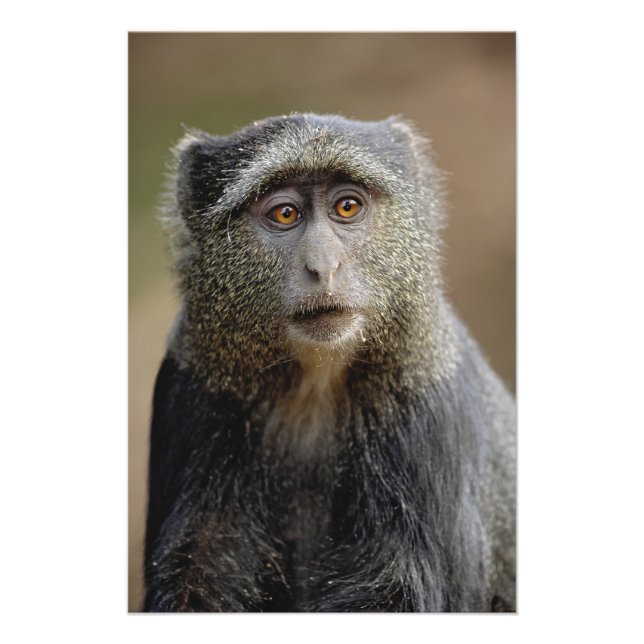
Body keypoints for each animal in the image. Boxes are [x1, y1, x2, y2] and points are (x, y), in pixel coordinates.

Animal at [143, 113, 516, 612]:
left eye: (347, 207)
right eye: (285, 214)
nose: (323, 267)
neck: (313, 386)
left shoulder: (425, 408)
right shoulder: (195, 391)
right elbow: (197, 568)